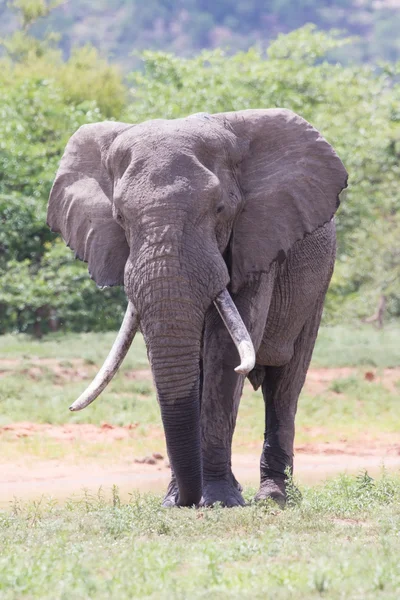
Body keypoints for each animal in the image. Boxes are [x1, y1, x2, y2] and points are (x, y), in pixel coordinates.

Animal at [46, 108, 346, 506]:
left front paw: (219, 500)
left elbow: (224, 352)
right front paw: (176, 501)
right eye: (120, 217)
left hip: (319, 282)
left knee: (284, 386)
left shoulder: (256, 240)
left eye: (220, 209)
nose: (187, 499)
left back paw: (271, 497)